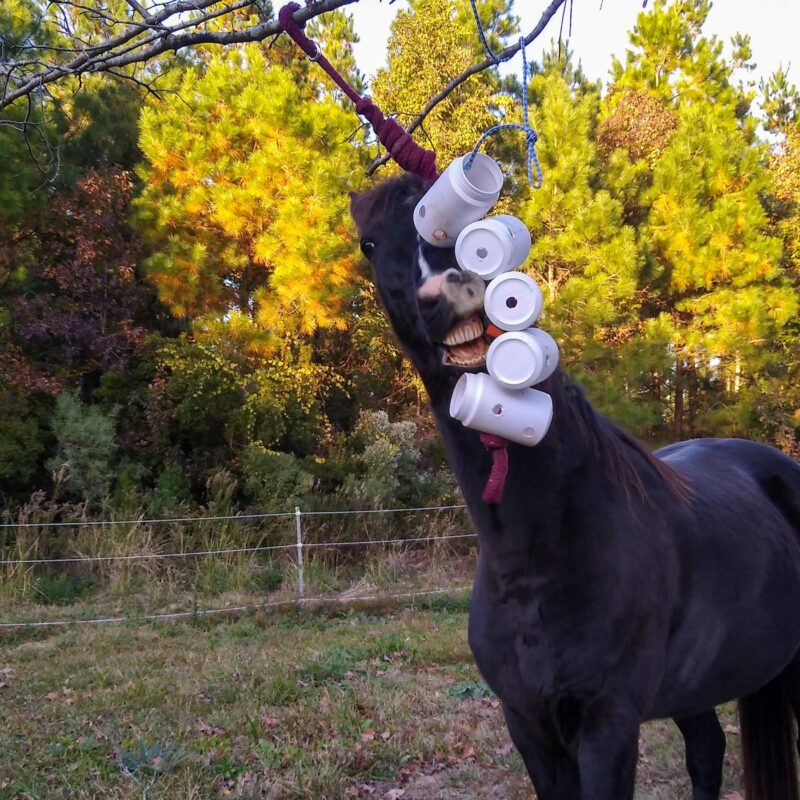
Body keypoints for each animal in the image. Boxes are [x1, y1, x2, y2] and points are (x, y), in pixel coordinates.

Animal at [348, 175, 800, 800]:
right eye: (368, 243)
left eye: (469, 220)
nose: (448, 291)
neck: (534, 564)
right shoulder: (528, 725)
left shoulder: (607, 724)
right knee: (708, 749)